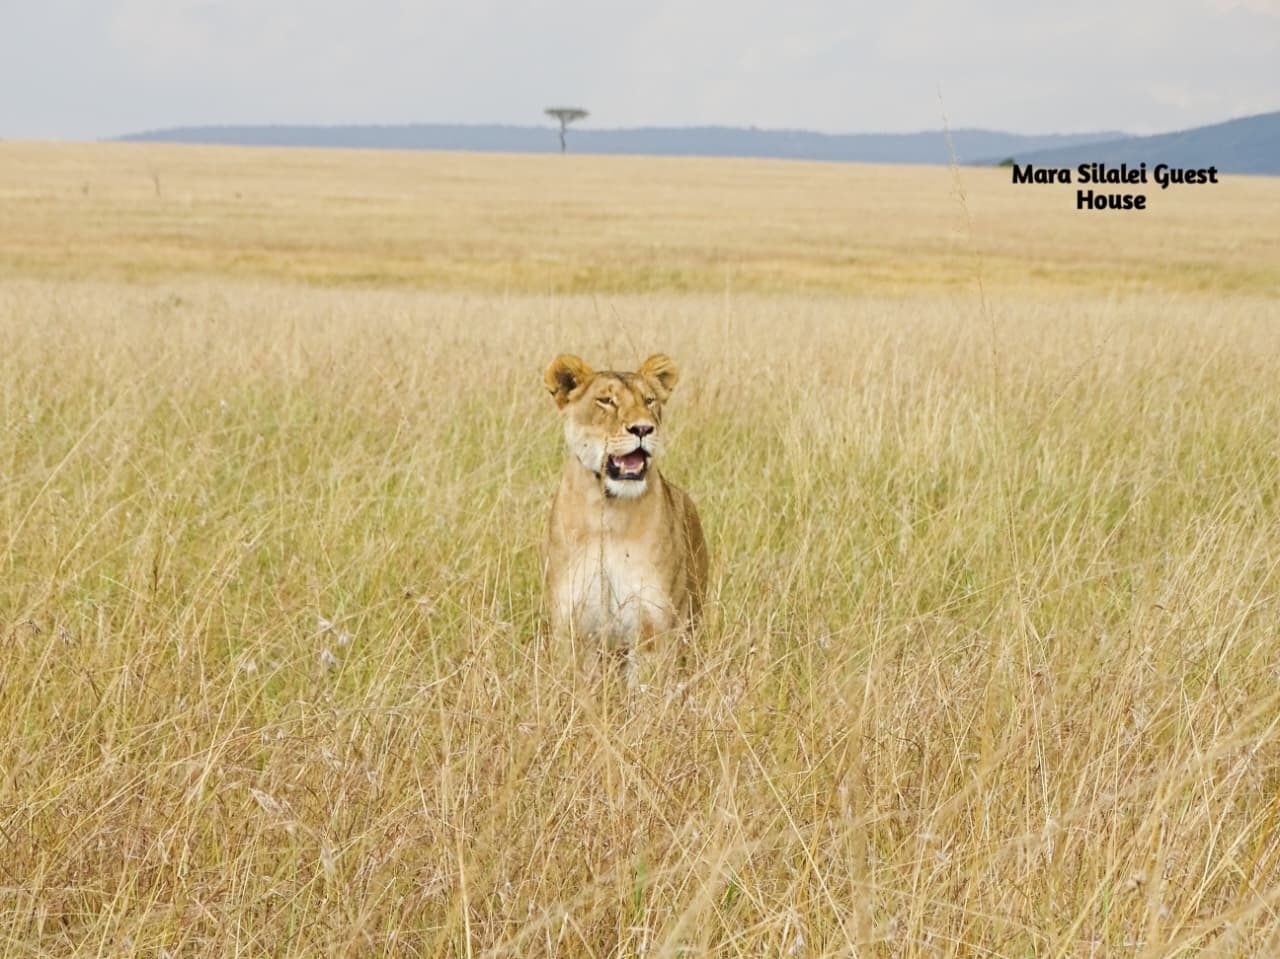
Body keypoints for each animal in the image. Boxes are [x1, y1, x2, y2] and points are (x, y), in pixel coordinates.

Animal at [542, 353, 708, 681]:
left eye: (650, 400)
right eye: (606, 401)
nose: (643, 429)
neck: (608, 510)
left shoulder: (653, 622)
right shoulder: (572, 624)